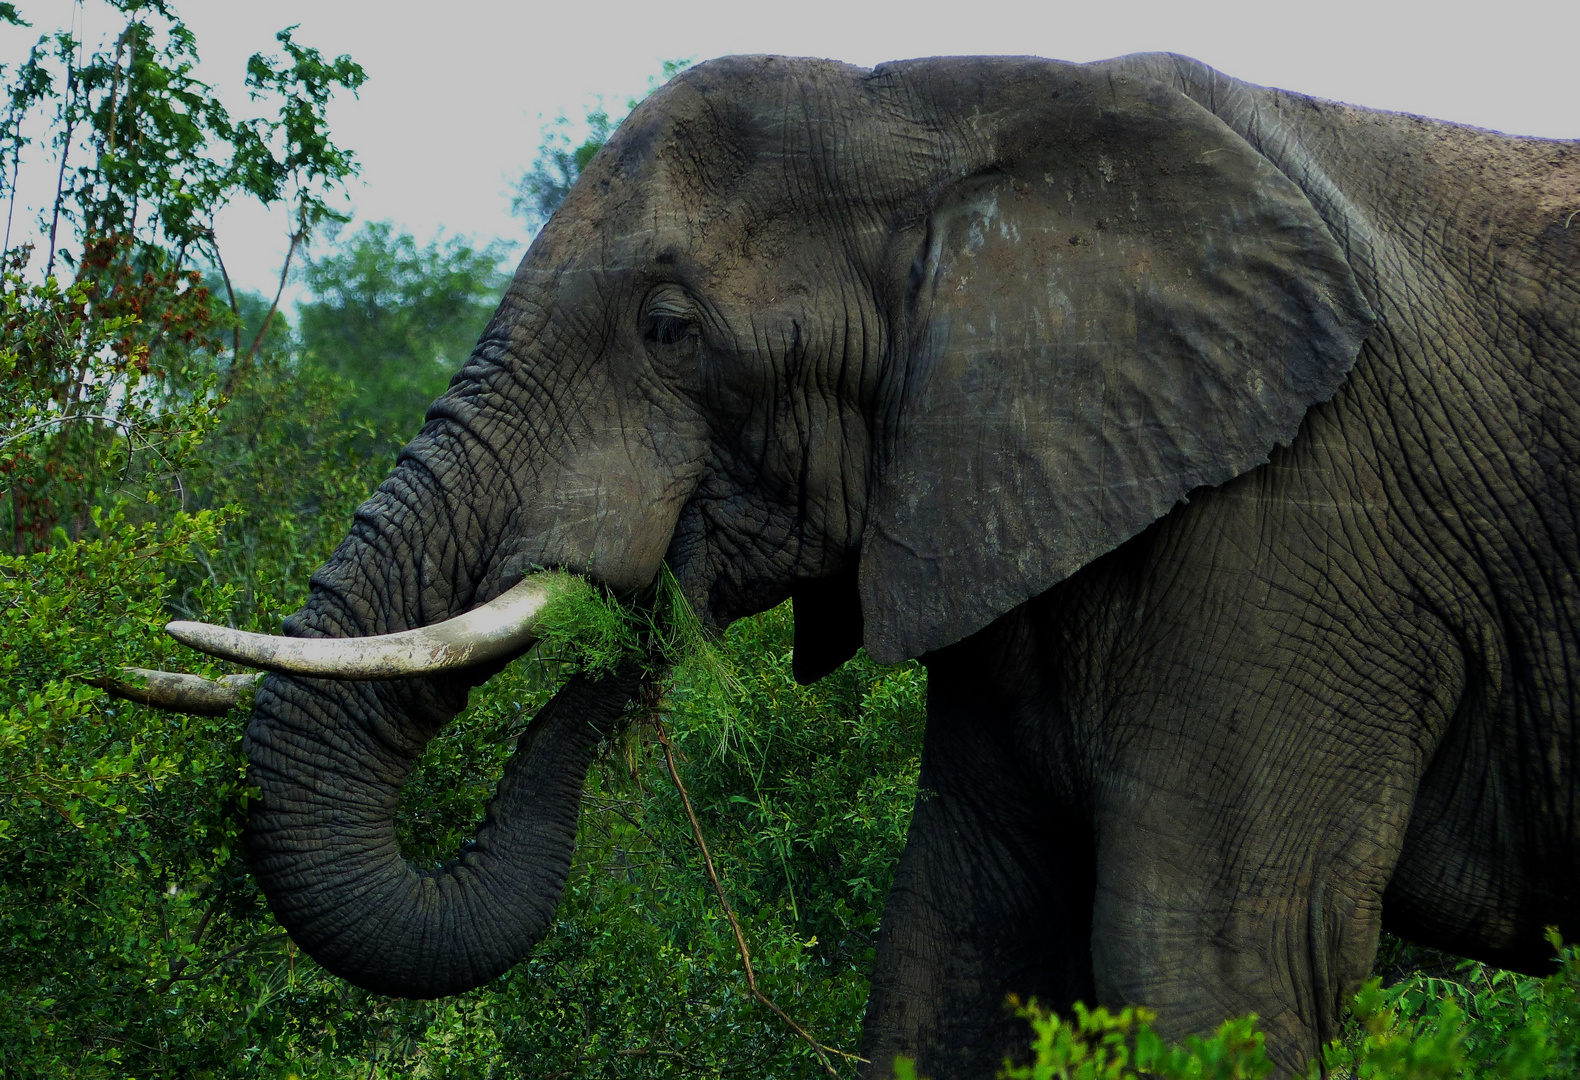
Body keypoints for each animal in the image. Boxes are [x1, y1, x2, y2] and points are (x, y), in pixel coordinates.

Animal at [163, 52, 1580, 1080]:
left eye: (669, 331)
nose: (636, 619)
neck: (941, 119)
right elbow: (953, 959)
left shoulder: (1304, 520)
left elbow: (1212, 968)